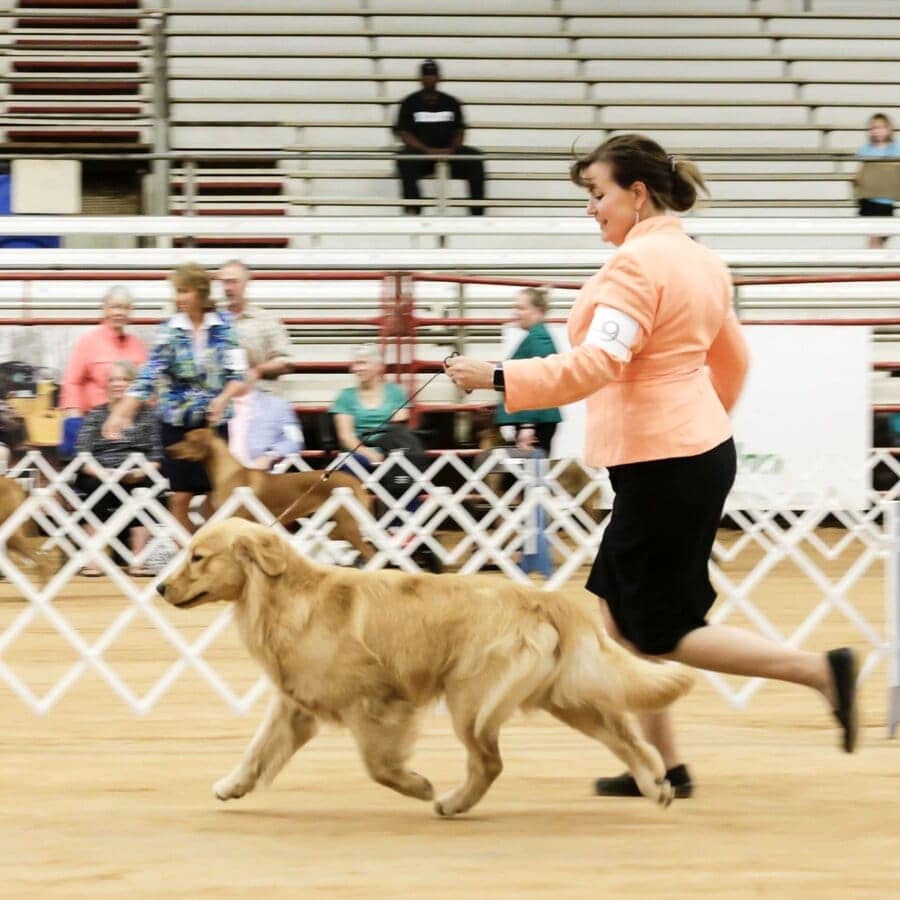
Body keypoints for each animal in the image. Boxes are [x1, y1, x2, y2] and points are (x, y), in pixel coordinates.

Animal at [162, 516, 692, 820]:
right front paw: (231, 787)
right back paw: (656, 787)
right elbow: (257, 751)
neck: (285, 597)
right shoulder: (296, 706)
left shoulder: (374, 701)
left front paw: (417, 785)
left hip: (470, 699)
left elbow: (378, 766)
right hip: (565, 697)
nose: (162, 588)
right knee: (628, 739)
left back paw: (452, 802)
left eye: (197, 556)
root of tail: (546, 600)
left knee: (489, 762)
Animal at [166, 428, 372, 564]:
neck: (228, 473)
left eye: (188, 439)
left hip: (348, 526)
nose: (169, 450)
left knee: (369, 552)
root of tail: (356, 482)